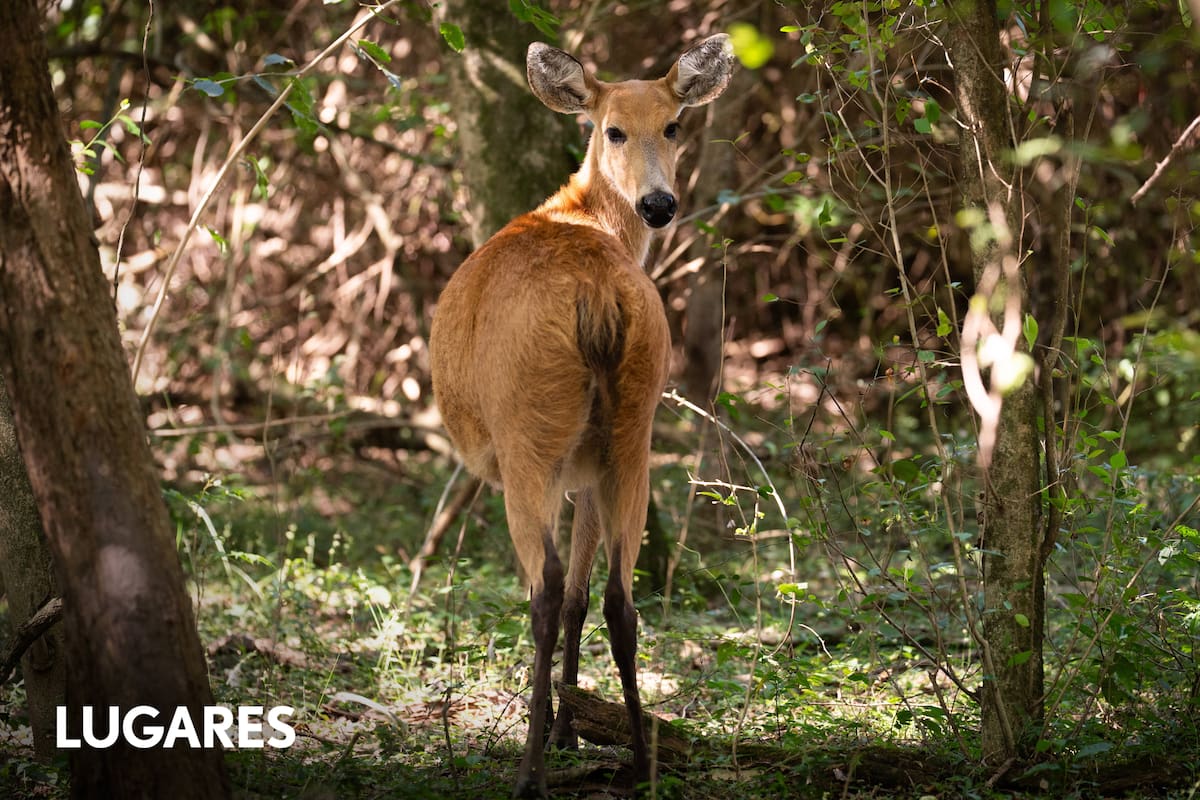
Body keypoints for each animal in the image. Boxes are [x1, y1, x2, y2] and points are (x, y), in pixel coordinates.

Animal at [429, 35, 735, 798]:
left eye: (673, 125)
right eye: (613, 129)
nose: (659, 203)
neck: (583, 215)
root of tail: (597, 290)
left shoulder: (555, 464)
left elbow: (560, 594)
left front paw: (555, 732)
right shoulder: (590, 467)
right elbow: (585, 596)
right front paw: (572, 727)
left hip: (528, 435)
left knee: (542, 594)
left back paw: (528, 772)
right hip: (632, 429)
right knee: (621, 600)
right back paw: (641, 761)